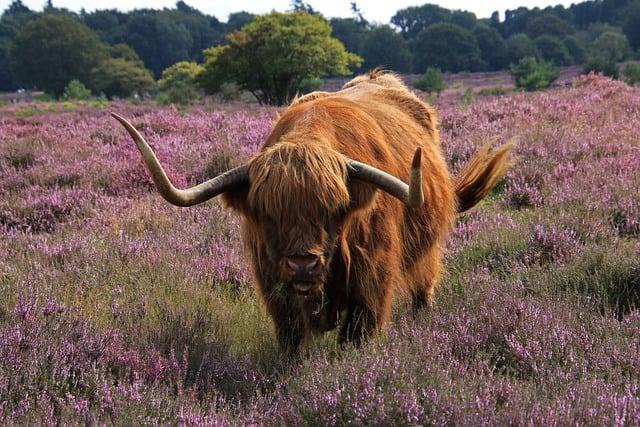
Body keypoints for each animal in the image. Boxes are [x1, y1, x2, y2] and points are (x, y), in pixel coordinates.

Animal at [110, 72, 510, 356]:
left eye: (333, 210)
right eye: (269, 214)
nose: (303, 265)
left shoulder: (372, 280)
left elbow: (357, 336)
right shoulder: (274, 285)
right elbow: (290, 339)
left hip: (426, 250)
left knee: (423, 285)